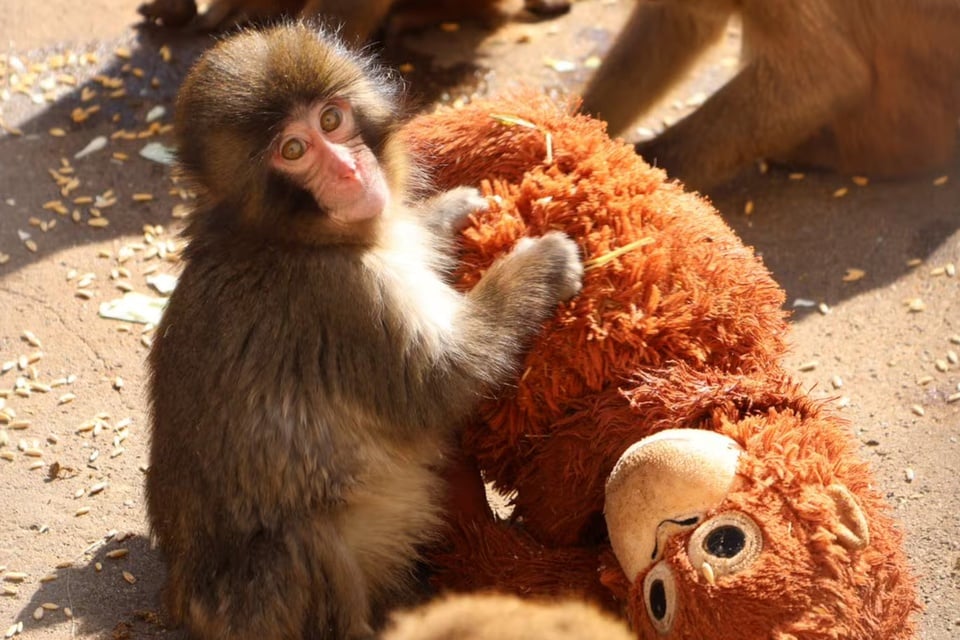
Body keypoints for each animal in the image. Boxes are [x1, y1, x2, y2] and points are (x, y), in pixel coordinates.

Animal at [145, 22, 583, 640]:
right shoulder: (345, 298)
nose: (349, 172)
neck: (289, 237)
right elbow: (441, 382)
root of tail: (179, 601)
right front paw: (539, 266)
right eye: (294, 150)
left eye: (332, 120)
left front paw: (449, 210)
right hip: (257, 604)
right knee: (303, 542)